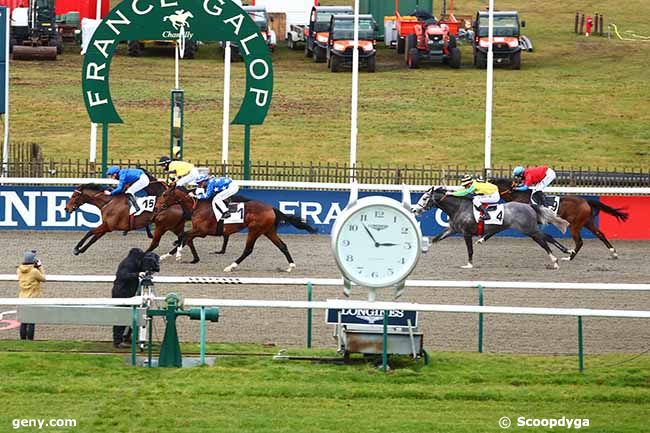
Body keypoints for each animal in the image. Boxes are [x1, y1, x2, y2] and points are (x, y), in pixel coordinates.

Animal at [157, 186, 318, 272]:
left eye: (164, 194)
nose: (158, 207)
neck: (198, 206)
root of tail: (272, 207)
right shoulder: (198, 231)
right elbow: (184, 238)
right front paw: (165, 256)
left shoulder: (201, 231)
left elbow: (183, 235)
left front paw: (178, 255)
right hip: (268, 231)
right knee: (282, 246)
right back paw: (291, 266)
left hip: (254, 230)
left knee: (248, 250)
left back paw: (231, 266)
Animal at [412, 186, 568, 268]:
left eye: (425, 198)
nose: (414, 210)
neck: (459, 208)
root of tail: (529, 206)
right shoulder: (452, 229)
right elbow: (435, 239)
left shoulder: (466, 233)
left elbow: (470, 250)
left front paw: (469, 264)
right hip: (528, 229)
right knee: (547, 237)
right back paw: (567, 253)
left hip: (529, 229)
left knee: (544, 240)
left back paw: (556, 260)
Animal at [494, 179, 624, 260]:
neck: (517, 197)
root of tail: (586, 201)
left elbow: (545, 237)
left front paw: (565, 251)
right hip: (587, 222)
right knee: (600, 234)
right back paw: (613, 253)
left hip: (575, 225)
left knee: (580, 242)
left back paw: (569, 257)